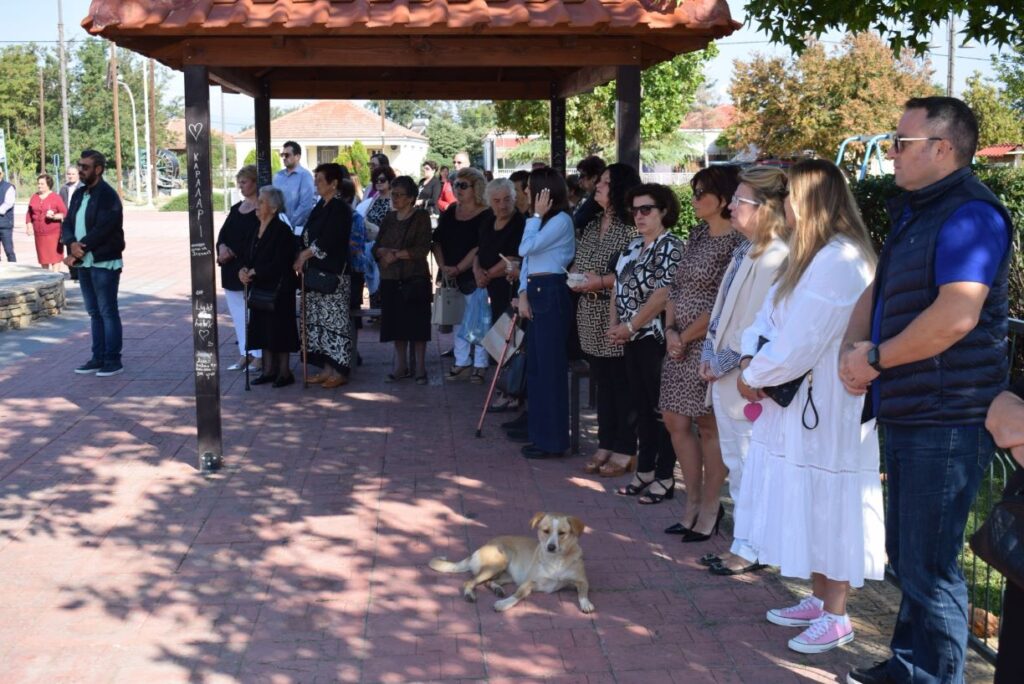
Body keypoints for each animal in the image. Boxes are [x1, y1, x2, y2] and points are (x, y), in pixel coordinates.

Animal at [430, 509, 593, 610]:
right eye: (545, 531)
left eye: (562, 533)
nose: (551, 547)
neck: (555, 560)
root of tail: (483, 546)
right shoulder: (528, 582)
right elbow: (517, 595)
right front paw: (504, 604)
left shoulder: (582, 581)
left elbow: (583, 592)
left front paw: (586, 604)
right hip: (498, 563)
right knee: (469, 581)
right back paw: (470, 594)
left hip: (508, 575)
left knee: (489, 582)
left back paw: (497, 589)